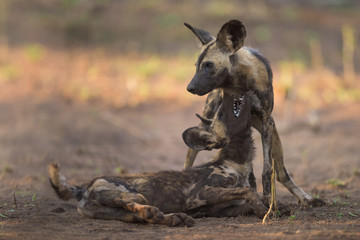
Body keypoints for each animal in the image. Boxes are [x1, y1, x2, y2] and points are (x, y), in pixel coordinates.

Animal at [47, 90, 268, 227]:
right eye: (221, 113)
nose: (226, 91)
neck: (238, 163)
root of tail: (83, 186)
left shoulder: (220, 208)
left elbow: (249, 198)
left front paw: (265, 209)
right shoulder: (200, 193)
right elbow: (248, 191)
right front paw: (262, 209)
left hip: (116, 212)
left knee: (136, 215)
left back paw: (169, 217)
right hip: (131, 193)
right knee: (131, 201)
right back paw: (157, 212)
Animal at [183, 19, 324, 206]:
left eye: (209, 65)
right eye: (196, 66)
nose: (189, 88)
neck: (240, 84)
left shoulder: (265, 122)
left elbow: (267, 170)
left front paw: (268, 200)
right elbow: (248, 169)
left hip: (274, 134)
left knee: (281, 173)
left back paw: (305, 198)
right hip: (208, 116)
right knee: (190, 154)